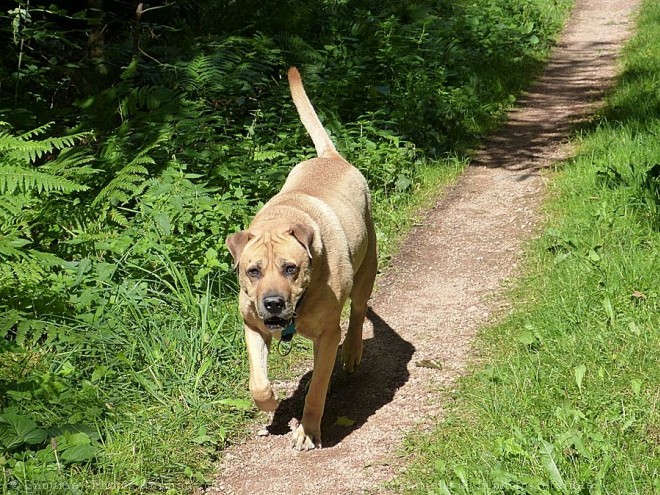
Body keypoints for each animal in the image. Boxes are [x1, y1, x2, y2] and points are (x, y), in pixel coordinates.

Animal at [227, 66, 378, 450]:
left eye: (290, 268)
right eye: (253, 271)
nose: (273, 303)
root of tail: (330, 157)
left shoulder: (327, 333)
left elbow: (318, 392)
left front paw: (308, 430)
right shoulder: (252, 325)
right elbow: (257, 381)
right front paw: (269, 402)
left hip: (366, 267)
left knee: (357, 313)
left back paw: (351, 352)